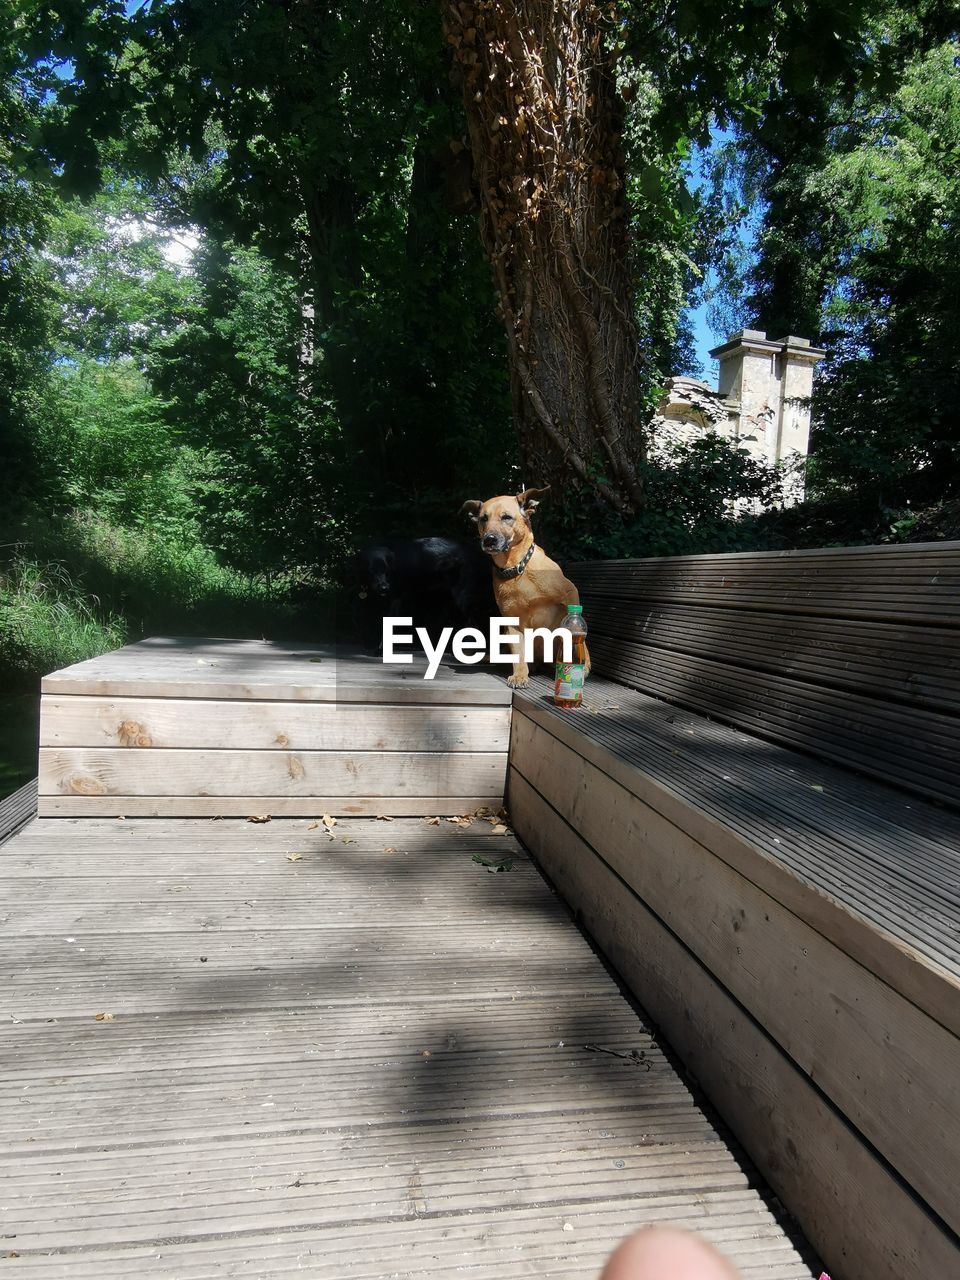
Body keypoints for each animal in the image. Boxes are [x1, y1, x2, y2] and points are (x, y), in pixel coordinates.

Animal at [348, 535, 496, 650]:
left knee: (474, 622)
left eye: (387, 571)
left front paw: (380, 649)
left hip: (462, 598)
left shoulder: (395, 599)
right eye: (371, 571)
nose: (384, 588)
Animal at [463, 488, 591, 691]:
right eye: (483, 519)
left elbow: (577, 634)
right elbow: (519, 654)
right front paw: (519, 675)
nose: (489, 540)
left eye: (507, 517)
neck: (516, 568)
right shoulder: (512, 621)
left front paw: (582, 664)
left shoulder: (571, 592)